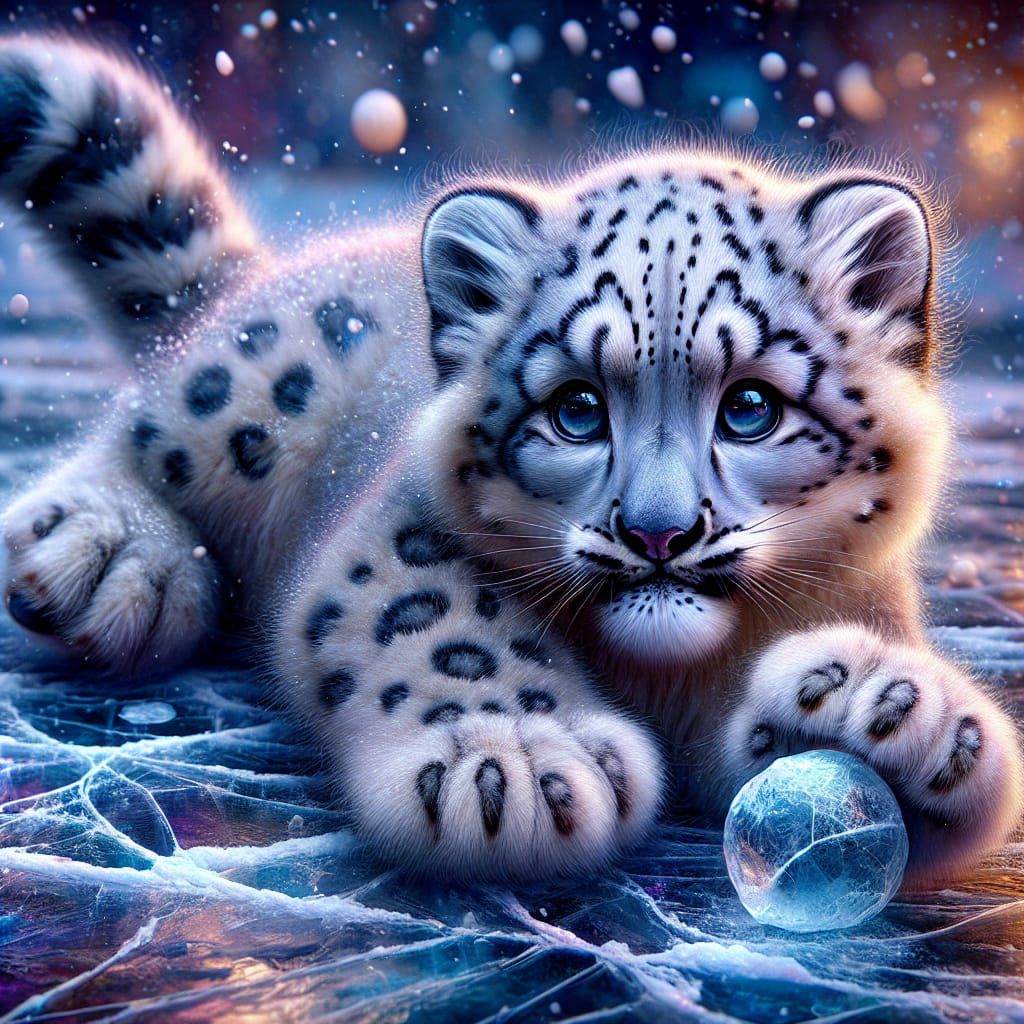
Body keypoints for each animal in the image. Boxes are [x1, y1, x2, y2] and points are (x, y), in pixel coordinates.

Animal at [1, 35, 1020, 883]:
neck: (663, 678)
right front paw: (517, 763)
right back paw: (108, 552)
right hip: (255, 387)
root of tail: (263, 275)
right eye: (577, 410)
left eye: (750, 408)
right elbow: (442, 624)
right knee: (153, 425)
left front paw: (898, 715)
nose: (657, 534)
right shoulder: (396, 539)